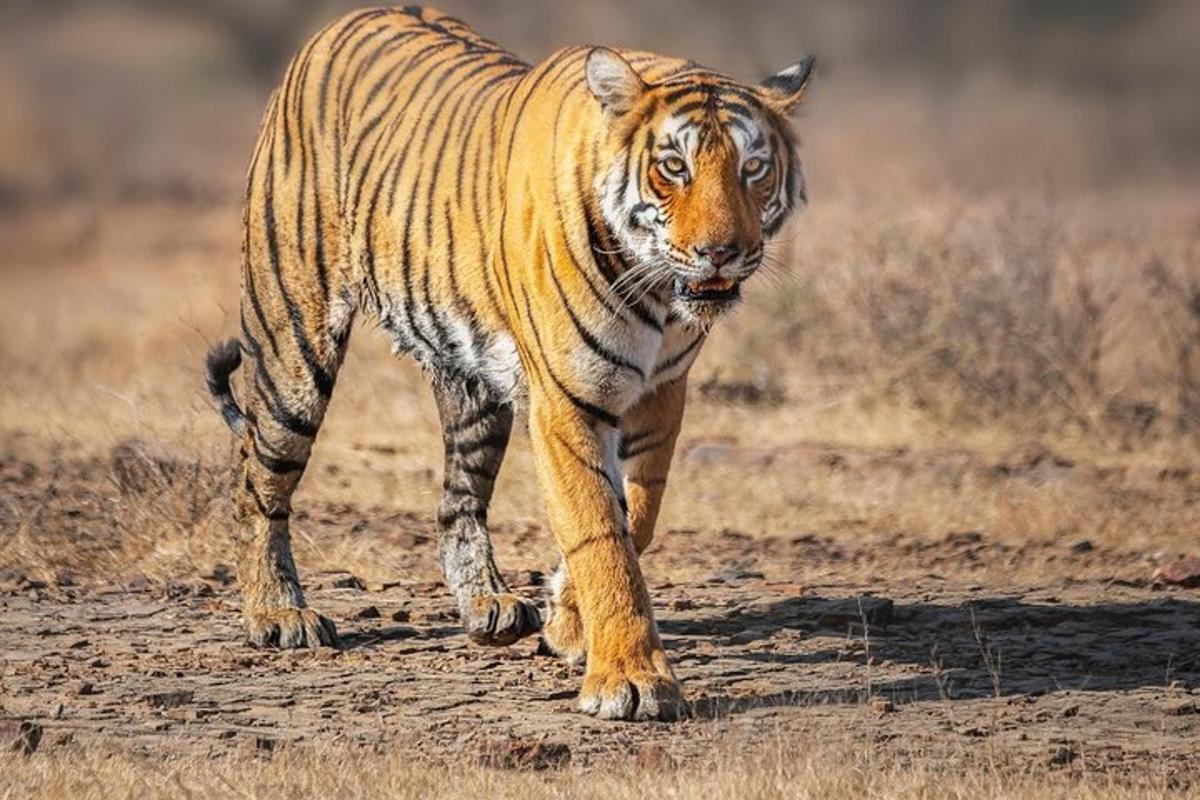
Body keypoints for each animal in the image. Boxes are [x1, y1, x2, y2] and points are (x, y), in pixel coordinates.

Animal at [206, 3, 811, 724]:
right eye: (673, 167)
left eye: (753, 168)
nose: (722, 252)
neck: (662, 296)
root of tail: (342, 21)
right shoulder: (567, 399)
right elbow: (600, 533)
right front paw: (631, 680)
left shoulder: (662, 395)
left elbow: (636, 516)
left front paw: (568, 622)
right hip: (294, 344)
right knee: (256, 477)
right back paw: (278, 613)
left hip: (474, 389)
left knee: (456, 502)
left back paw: (487, 606)